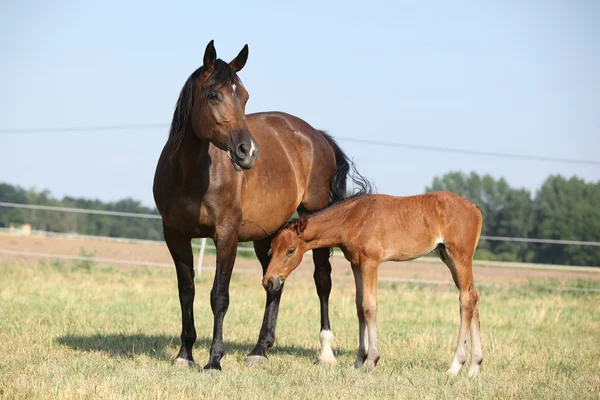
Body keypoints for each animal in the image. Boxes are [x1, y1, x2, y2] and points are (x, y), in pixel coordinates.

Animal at [152, 41, 370, 372]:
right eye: (214, 95)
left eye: (244, 96)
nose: (248, 151)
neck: (191, 174)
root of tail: (315, 135)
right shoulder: (174, 235)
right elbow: (186, 292)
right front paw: (184, 355)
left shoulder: (226, 235)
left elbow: (219, 296)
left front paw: (214, 361)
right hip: (266, 235)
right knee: (274, 283)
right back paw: (260, 349)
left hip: (312, 220)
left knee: (322, 280)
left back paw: (325, 352)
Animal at [262, 192, 482, 376]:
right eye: (271, 250)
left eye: (290, 250)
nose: (269, 281)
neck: (353, 218)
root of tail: (475, 208)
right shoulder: (356, 264)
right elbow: (359, 308)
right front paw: (358, 361)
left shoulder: (371, 263)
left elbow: (369, 307)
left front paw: (372, 361)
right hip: (447, 256)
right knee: (474, 297)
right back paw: (474, 367)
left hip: (459, 257)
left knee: (465, 300)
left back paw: (455, 366)